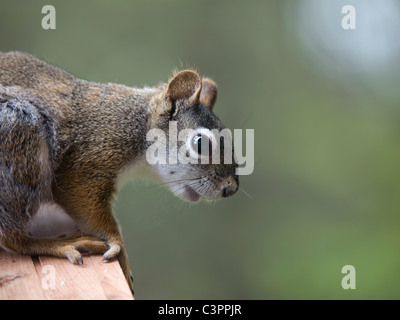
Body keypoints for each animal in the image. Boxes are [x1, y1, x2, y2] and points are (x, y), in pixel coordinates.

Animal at [0, 50, 238, 292]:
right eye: (200, 143)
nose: (231, 188)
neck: (136, 123)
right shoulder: (87, 162)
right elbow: (83, 203)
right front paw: (120, 249)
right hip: (19, 136)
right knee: (11, 238)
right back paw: (62, 243)